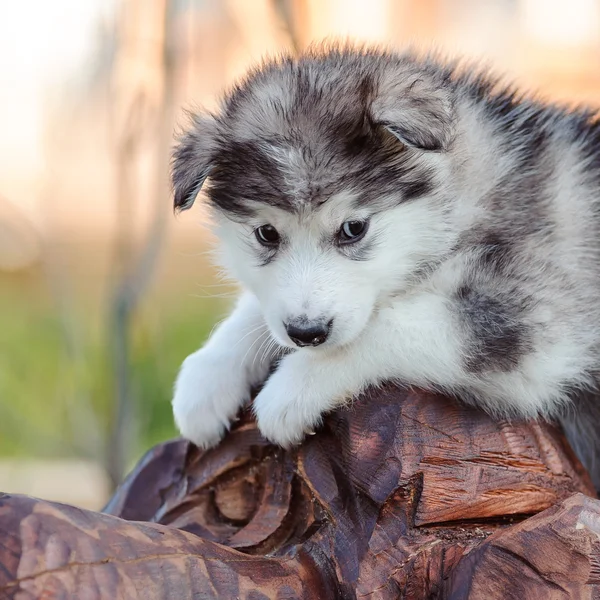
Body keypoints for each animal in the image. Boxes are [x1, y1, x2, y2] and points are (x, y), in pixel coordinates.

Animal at [170, 47, 600, 486]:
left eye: (353, 228)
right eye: (267, 233)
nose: (306, 333)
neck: (478, 195)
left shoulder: (534, 321)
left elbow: (380, 328)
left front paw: (291, 388)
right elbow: (260, 309)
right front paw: (208, 376)